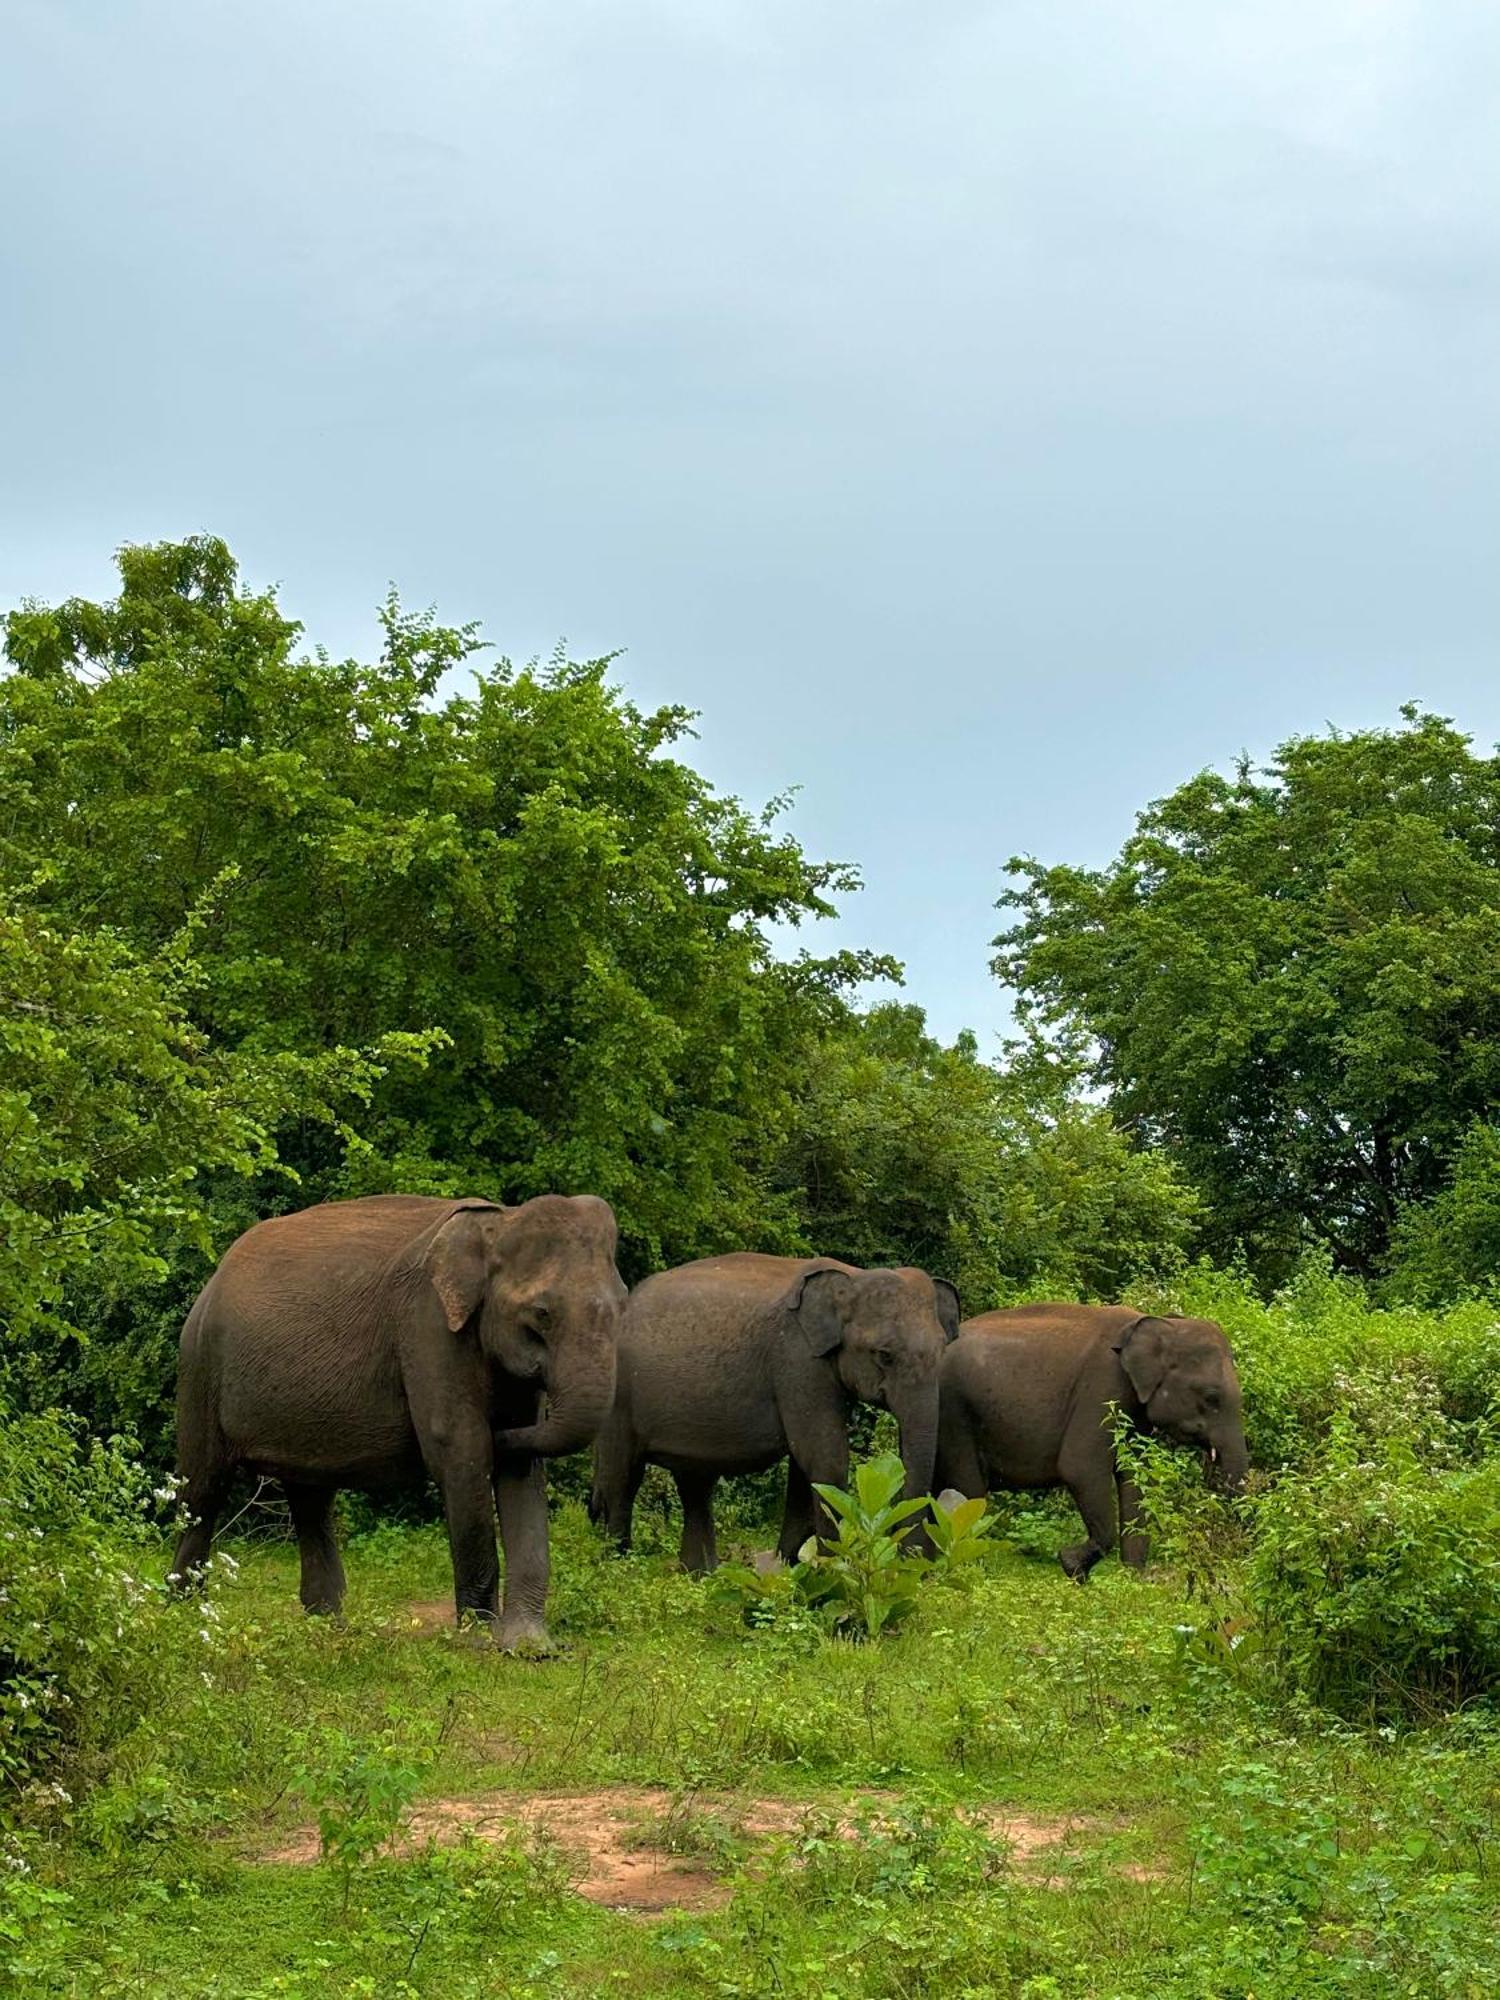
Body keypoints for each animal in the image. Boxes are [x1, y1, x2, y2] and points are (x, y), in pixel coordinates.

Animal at [173, 1192, 624, 1648]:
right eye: (542, 1313)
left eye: (622, 1306)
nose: (503, 1431)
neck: (500, 1221)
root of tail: (215, 1276)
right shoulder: (428, 1327)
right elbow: (460, 1450)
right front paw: (478, 1640)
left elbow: (521, 1473)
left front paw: (530, 1646)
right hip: (200, 1368)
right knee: (203, 1490)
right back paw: (185, 1617)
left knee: (310, 1498)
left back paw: (329, 1628)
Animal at [592, 1256, 964, 1568]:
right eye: (884, 1355)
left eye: (942, 1350)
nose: (914, 1562)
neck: (852, 1275)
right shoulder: (797, 1360)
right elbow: (825, 1458)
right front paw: (832, 1569)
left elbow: (807, 1466)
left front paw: (792, 1568)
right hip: (618, 1398)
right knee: (622, 1478)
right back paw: (616, 1565)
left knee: (694, 1485)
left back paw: (698, 1574)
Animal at [940, 1304, 1248, 1584]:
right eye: (1211, 1397)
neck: (1162, 1323)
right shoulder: (1103, 1389)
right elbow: (1080, 1467)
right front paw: (1071, 1566)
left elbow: (1134, 1476)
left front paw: (1133, 1580)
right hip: (955, 1417)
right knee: (969, 1490)